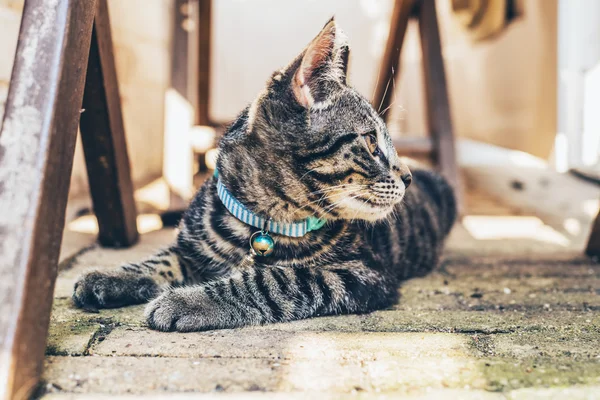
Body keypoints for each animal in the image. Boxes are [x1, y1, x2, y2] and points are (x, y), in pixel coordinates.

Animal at [71, 18, 454, 332]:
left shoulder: (359, 274)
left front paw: (188, 300)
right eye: (372, 141)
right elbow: (163, 258)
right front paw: (110, 275)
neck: (260, 222)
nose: (407, 177)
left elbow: (272, 279)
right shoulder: (190, 246)